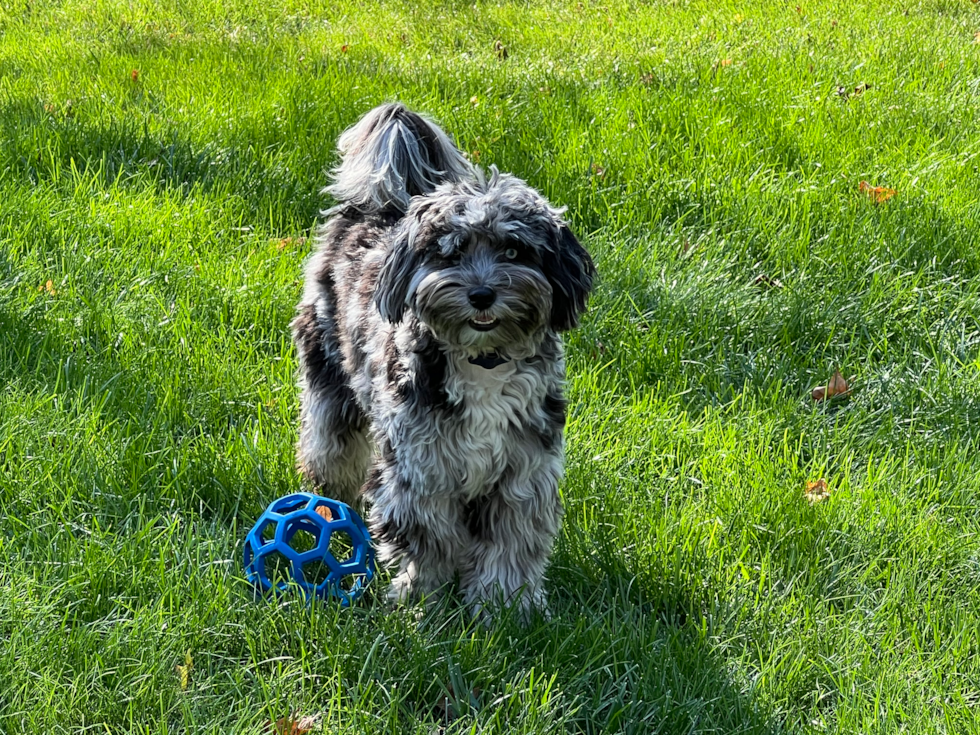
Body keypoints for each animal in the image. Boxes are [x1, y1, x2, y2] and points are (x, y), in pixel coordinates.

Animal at [290, 103, 596, 620]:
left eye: (514, 249)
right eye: (449, 253)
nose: (481, 294)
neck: (483, 362)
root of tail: (374, 208)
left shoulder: (523, 473)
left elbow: (512, 545)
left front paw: (506, 609)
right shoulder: (421, 469)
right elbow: (428, 541)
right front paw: (422, 603)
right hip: (329, 373)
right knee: (330, 445)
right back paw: (328, 500)